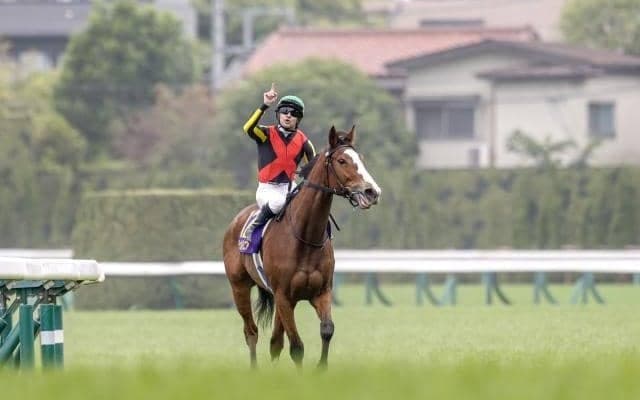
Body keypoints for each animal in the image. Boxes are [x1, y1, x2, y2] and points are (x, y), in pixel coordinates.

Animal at [222, 125, 381, 369]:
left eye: (361, 159)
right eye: (342, 160)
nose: (372, 192)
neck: (305, 237)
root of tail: (236, 220)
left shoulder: (320, 292)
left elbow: (327, 330)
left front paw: (321, 368)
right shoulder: (284, 296)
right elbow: (297, 347)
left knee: (275, 342)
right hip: (239, 286)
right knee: (251, 332)